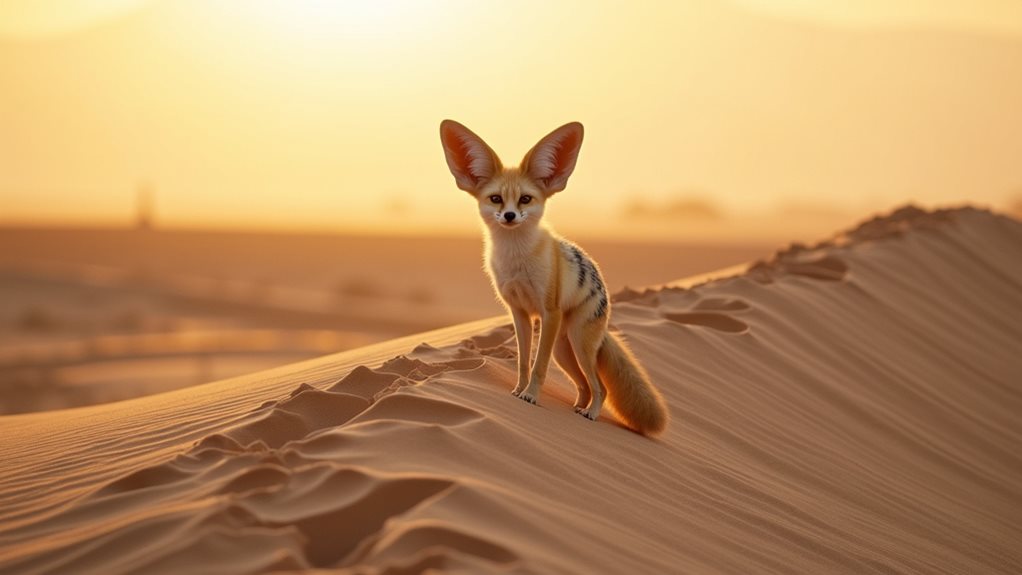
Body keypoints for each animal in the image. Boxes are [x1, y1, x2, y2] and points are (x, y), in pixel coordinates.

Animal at [439, 120, 668, 436]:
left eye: (525, 199)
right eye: (496, 199)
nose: (509, 216)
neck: (517, 259)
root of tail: (605, 305)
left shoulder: (549, 311)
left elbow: (538, 366)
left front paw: (531, 397)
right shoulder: (520, 313)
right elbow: (524, 363)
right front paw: (518, 391)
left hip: (578, 344)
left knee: (600, 388)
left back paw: (591, 414)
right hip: (564, 351)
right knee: (585, 386)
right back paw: (577, 408)